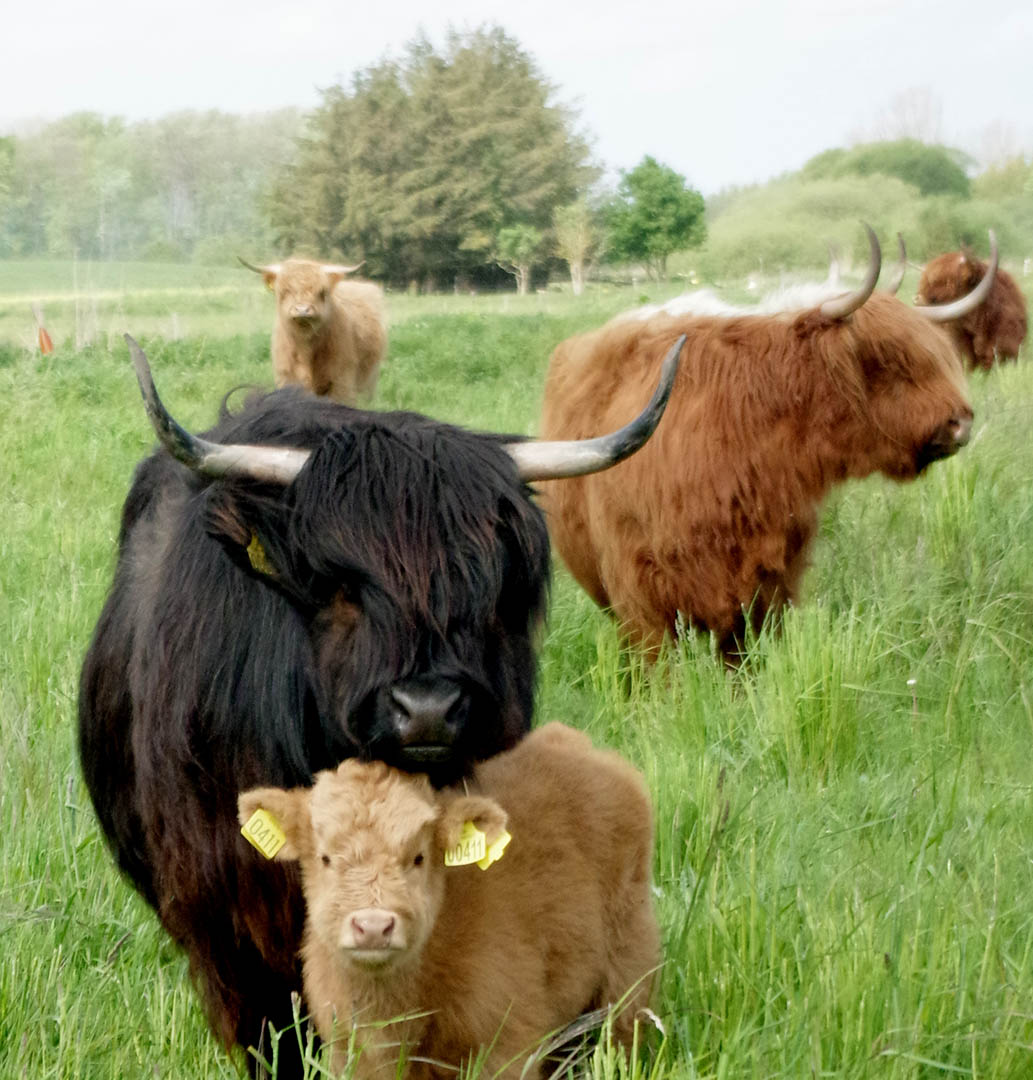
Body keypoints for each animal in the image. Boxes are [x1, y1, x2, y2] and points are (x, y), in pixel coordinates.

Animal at [237, 717, 656, 1080]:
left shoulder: (509, 1045)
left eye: (418, 857)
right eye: (325, 858)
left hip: (628, 971)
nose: (372, 926)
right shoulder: (346, 1052)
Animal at [240, 257, 386, 406]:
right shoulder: (286, 377)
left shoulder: (341, 381)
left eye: (322, 292)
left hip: (369, 379)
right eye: (285, 291)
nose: (302, 310)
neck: (306, 351)